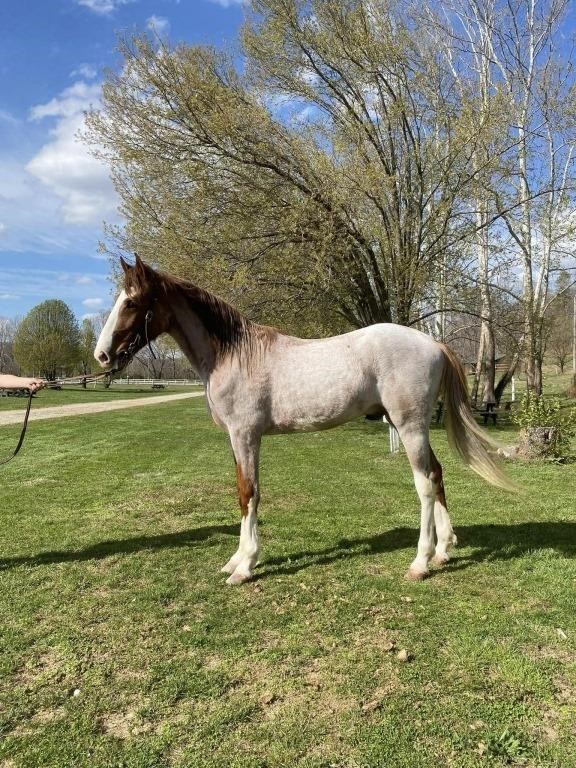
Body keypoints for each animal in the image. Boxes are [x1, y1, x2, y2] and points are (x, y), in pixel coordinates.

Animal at [95, 255, 512, 584]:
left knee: (424, 484)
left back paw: (421, 562)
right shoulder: (236, 439)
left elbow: (249, 493)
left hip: (410, 427)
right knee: (438, 475)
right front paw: (236, 559)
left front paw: (244, 566)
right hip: (414, 429)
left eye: (131, 302)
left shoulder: (246, 435)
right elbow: (242, 493)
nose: (102, 355)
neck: (234, 353)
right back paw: (443, 551)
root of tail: (433, 343)